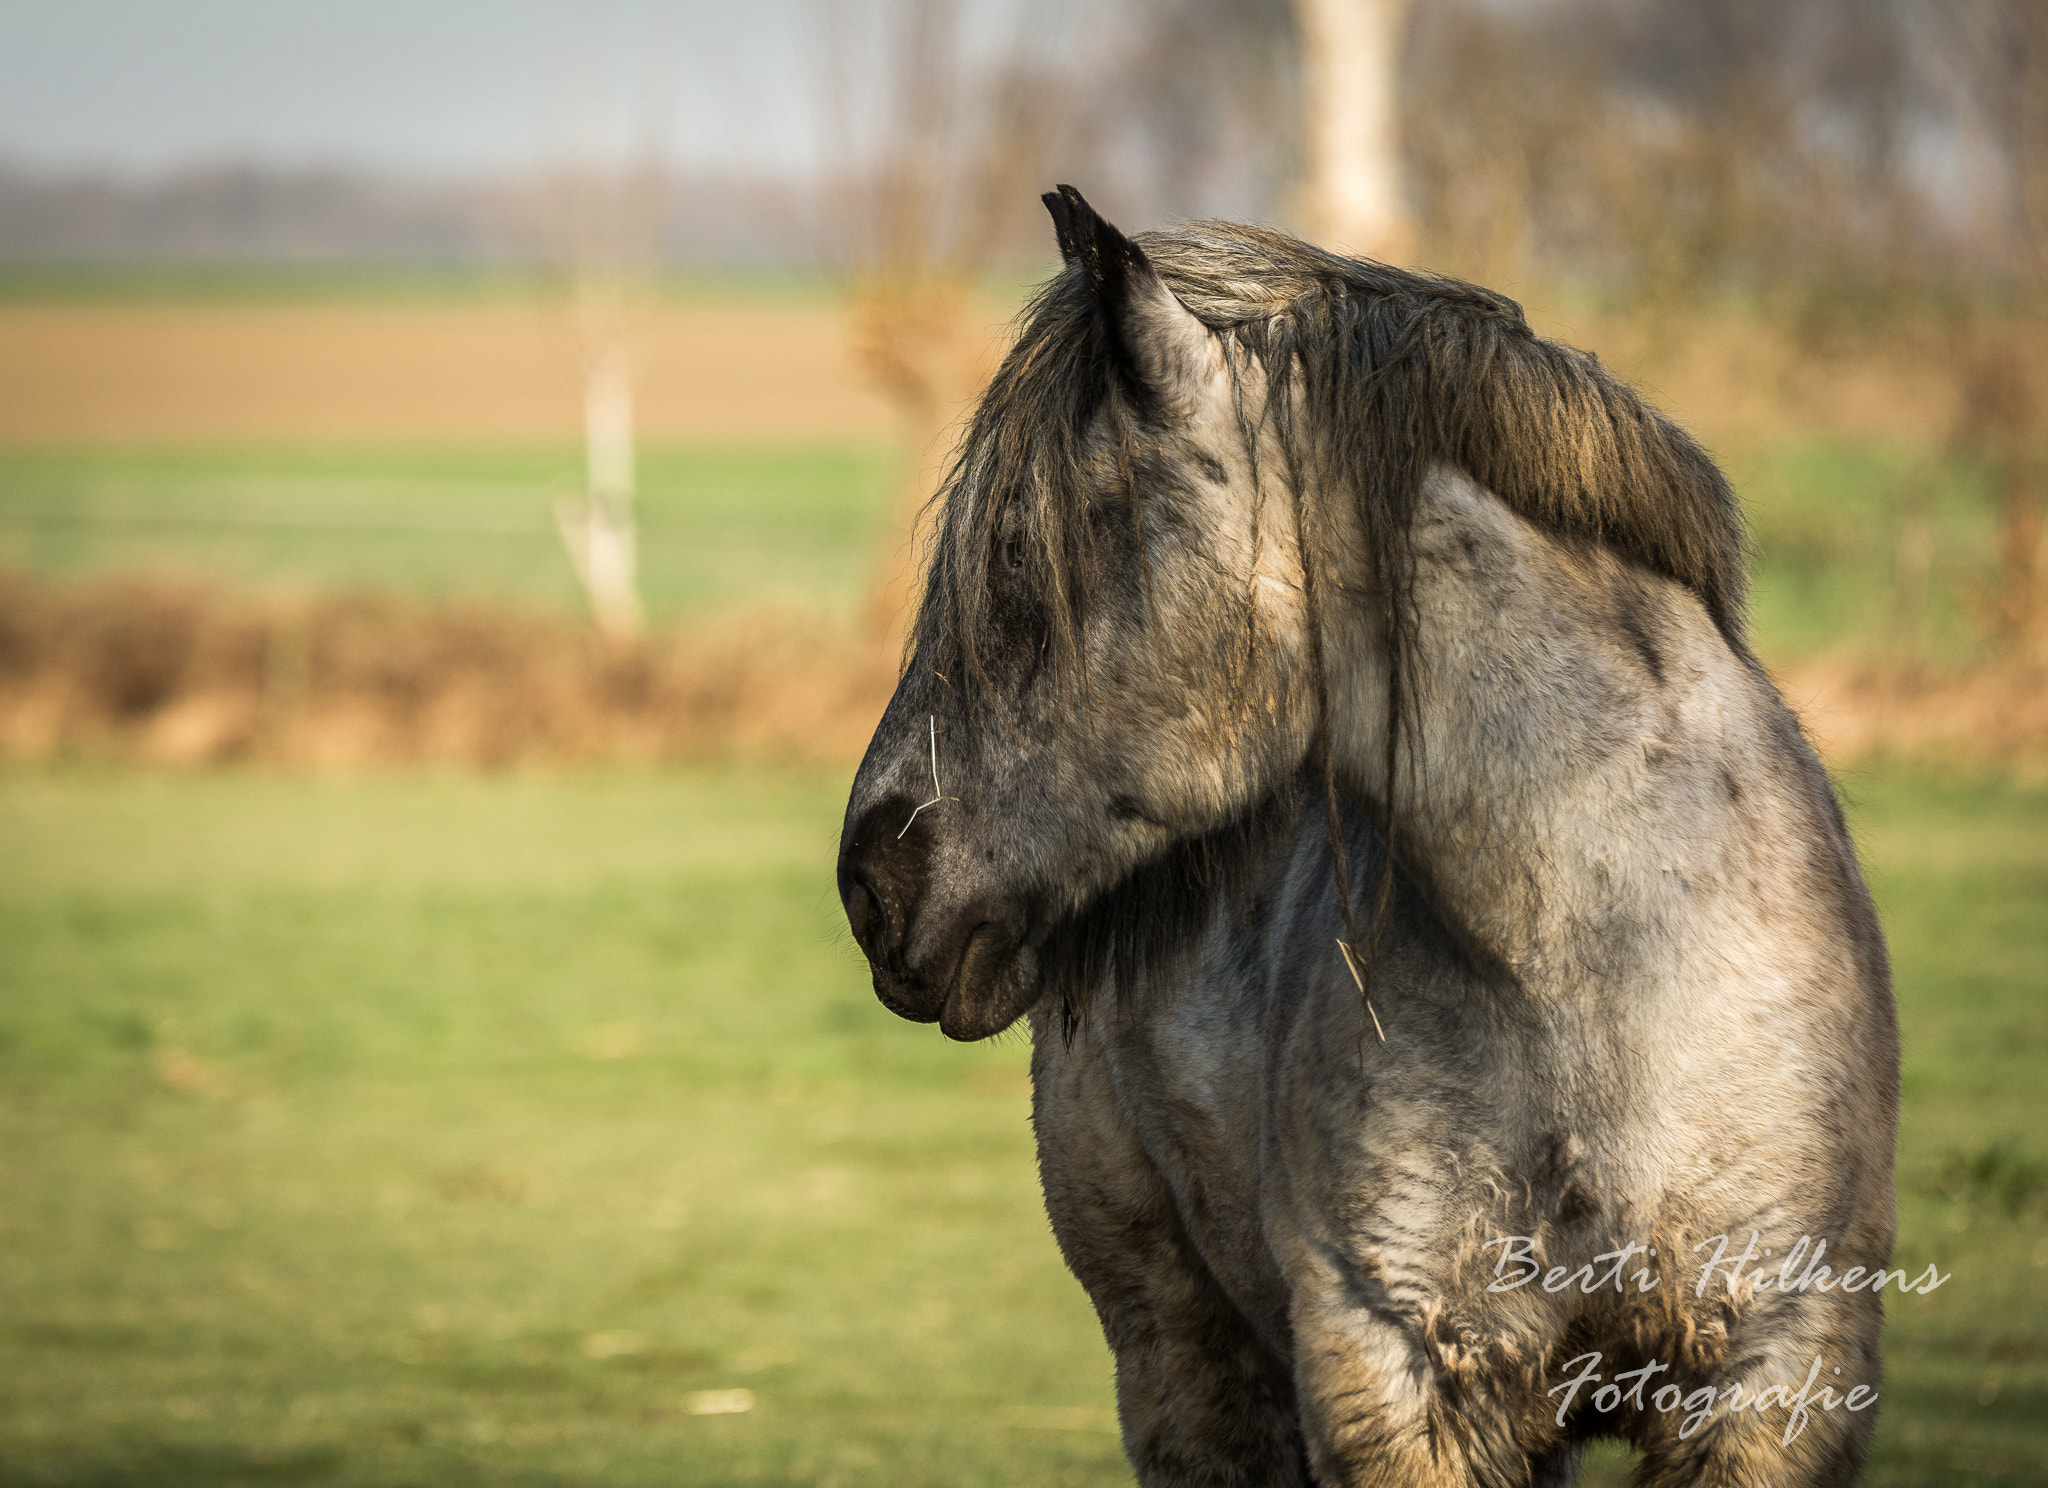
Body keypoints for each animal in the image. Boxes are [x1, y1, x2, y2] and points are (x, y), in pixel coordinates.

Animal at [839, 189, 1892, 1488]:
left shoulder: (1773, 1382)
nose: (872, 880)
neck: (1618, 976)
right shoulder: (1393, 1380)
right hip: (1178, 1355)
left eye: (1027, 561)